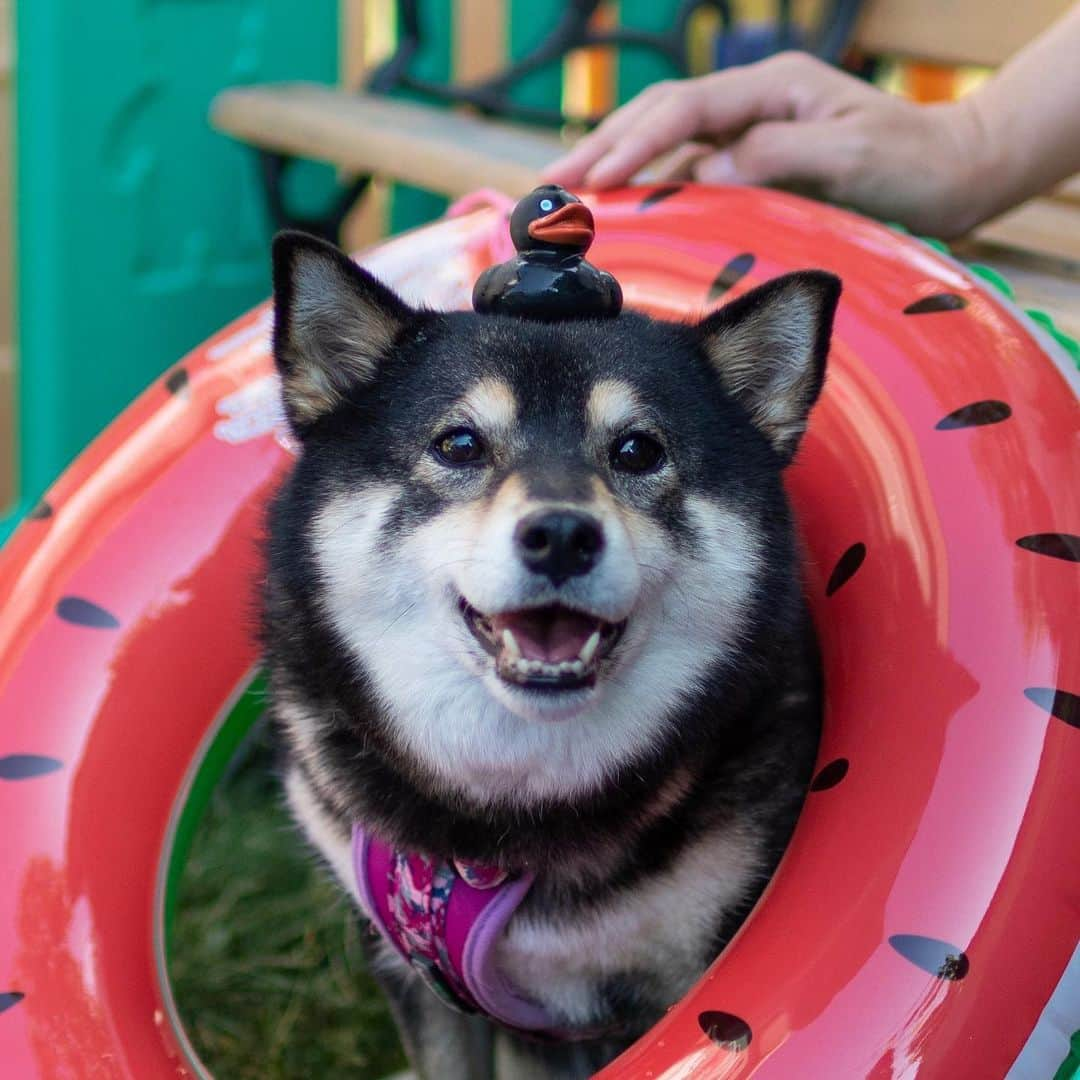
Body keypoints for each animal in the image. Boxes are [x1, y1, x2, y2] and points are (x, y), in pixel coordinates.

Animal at [263, 227, 842, 1080]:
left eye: (637, 450)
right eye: (458, 442)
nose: (562, 535)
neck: (506, 811)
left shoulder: (688, 970)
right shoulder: (415, 972)